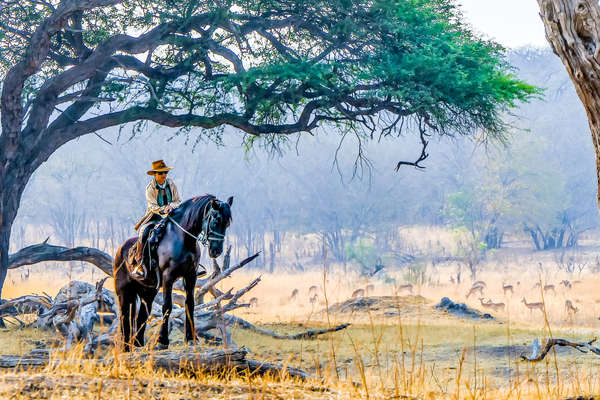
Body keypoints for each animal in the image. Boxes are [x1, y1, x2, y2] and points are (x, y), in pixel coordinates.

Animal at [113, 195, 233, 350]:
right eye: (215, 220)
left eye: (227, 223)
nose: (216, 251)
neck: (183, 239)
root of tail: (120, 249)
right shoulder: (167, 277)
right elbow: (167, 306)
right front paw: (162, 341)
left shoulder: (191, 276)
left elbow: (190, 304)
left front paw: (191, 338)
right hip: (123, 292)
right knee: (124, 315)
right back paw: (126, 347)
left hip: (147, 292)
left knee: (142, 316)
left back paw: (137, 344)